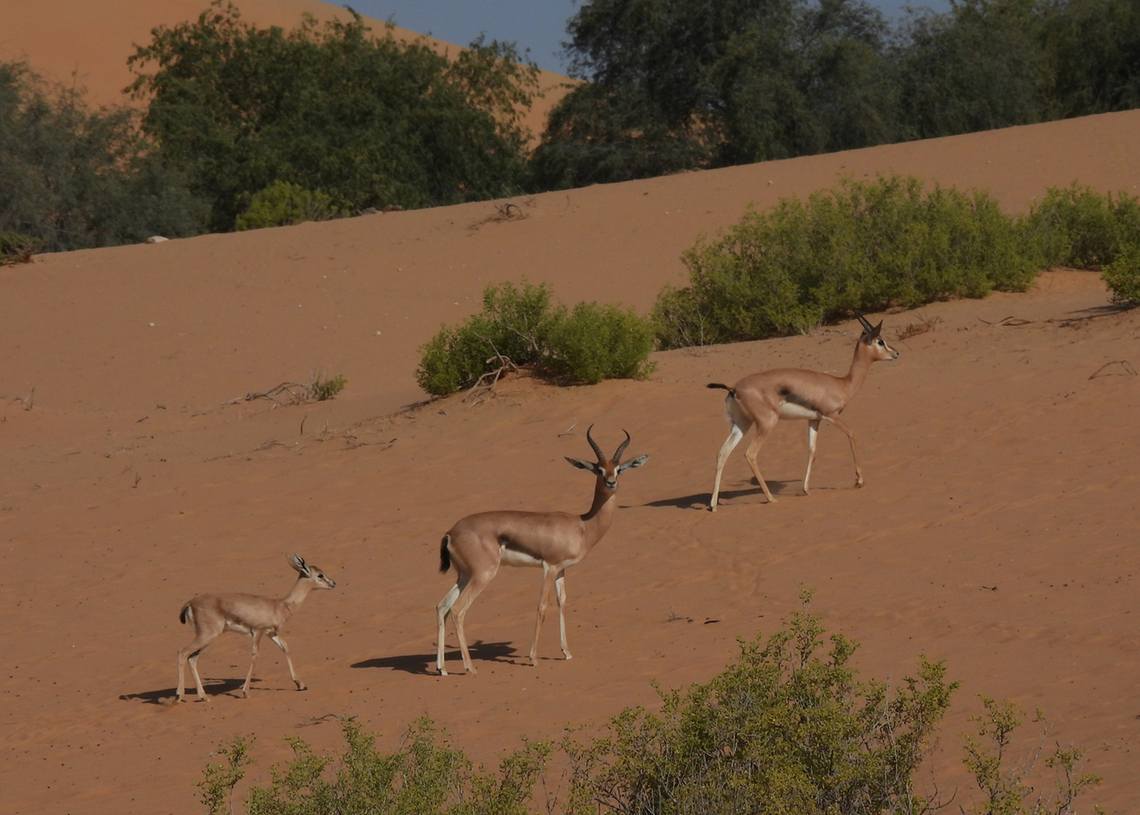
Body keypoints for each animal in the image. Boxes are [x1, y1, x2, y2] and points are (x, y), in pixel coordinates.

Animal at [175, 554, 335, 702]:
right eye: (320, 575)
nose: (333, 583)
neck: (280, 606)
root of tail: (190, 603)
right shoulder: (258, 631)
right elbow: (255, 655)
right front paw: (245, 692)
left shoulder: (271, 633)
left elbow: (285, 647)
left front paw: (300, 684)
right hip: (207, 635)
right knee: (182, 652)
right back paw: (179, 695)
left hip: (207, 637)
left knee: (192, 658)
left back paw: (203, 697)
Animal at [436, 426, 649, 676]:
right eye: (598, 469)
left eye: (618, 469)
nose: (611, 482)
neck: (582, 526)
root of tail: (451, 532)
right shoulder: (550, 567)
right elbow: (542, 607)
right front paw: (533, 658)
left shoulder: (562, 570)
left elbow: (562, 603)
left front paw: (566, 652)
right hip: (482, 575)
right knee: (458, 610)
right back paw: (470, 667)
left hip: (464, 575)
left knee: (442, 606)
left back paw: (442, 668)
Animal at [707, 313, 899, 511]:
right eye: (880, 341)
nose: (896, 353)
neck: (842, 384)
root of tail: (734, 389)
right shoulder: (832, 416)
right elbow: (852, 434)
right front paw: (859, 480)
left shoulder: (814, 420)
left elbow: (811, 450)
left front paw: (806, 489)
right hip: (766, 423)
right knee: (750, 454)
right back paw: (770, 498)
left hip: (741, 424)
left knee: (722, 453)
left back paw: (713, 505)